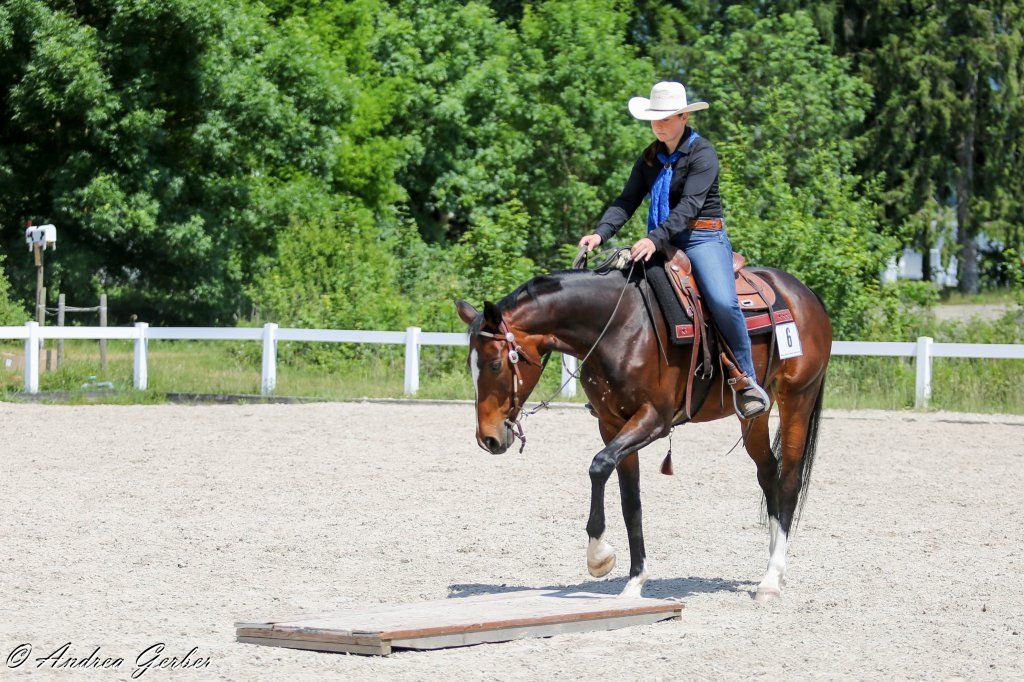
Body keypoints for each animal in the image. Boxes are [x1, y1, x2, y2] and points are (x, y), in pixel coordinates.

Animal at [455, 259, 831, 603]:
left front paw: (599, 558)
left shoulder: (653, 419)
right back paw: (772, 564)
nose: (488, 438)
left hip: (797, 397)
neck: (618, 327)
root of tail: (804, 293)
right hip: (754, 415)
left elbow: (598, 466)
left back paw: (771, 579)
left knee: (789, 480)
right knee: (768, 472)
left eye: (495, 364)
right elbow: (630, 501)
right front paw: (635, 580)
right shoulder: (611, 425)